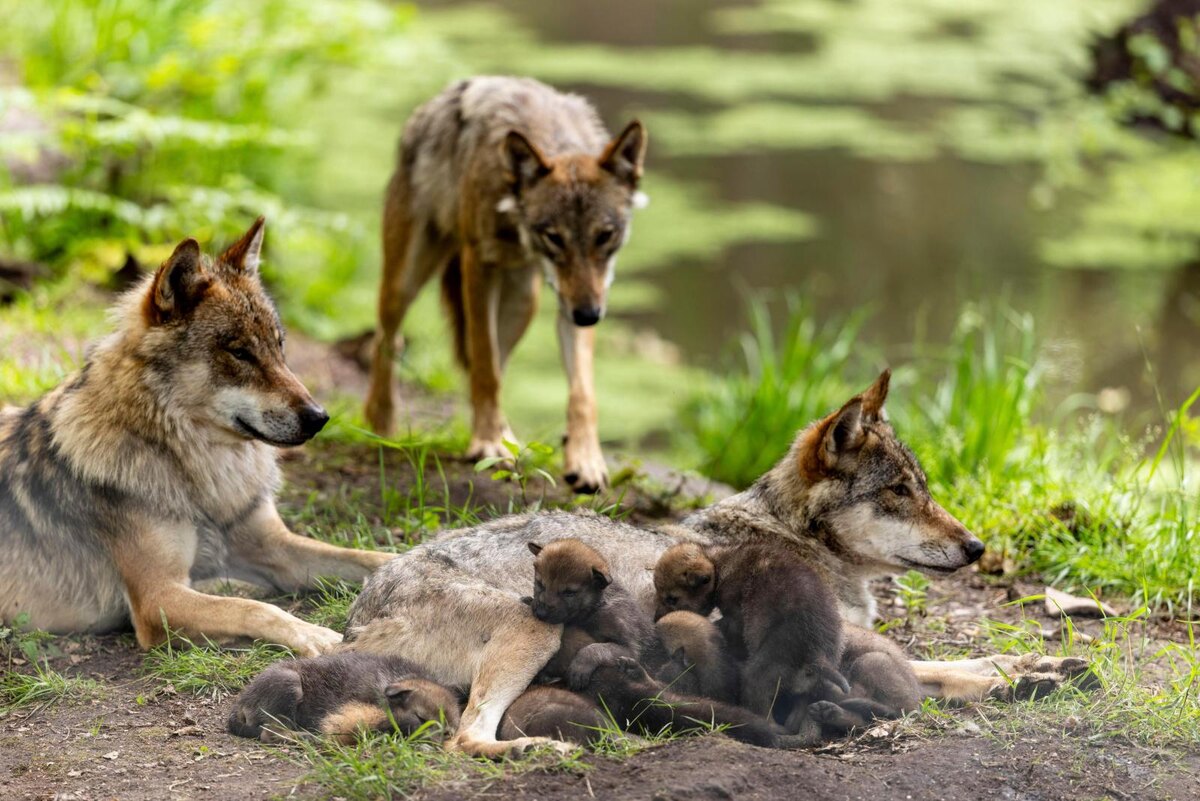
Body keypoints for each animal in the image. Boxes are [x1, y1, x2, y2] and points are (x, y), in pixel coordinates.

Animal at [0, 217, 391, 652]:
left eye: (279, 346)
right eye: (240, 353)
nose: (319, 417)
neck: (206, 478)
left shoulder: (277, 545)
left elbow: (371, 557)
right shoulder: (157, 597)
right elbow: (255, 610)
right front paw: (317, 636)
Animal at [343, 369, 1094, 757]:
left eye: (926, 489)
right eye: (900, 494)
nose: (976, 549)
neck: (790, 534)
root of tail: (361, 613)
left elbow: (961, 661)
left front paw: (1040, 665)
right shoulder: (841, 644)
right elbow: (944, 670)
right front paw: (1026, 677)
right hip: (535, 630)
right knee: (466, 737)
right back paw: (535, 751)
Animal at [362, 76, 648, 494]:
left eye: (604, 236)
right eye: (554, 237)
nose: (588, 316)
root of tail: (426, 110)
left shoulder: (581, 296)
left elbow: (582, 393)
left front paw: (585, 459)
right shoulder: (479, 265)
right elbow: (485, 365)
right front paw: (488, 444)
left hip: (523, 301)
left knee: (496, 360)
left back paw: (508, 436)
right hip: (407, 279)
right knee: (388, 339)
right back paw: (382, 424)